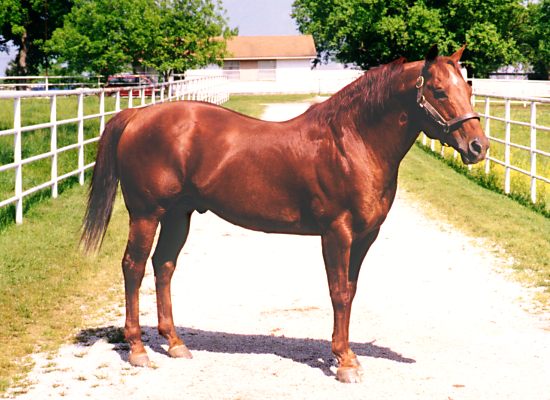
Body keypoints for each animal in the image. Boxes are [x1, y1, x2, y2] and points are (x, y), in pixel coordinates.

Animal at [81, 45, 488, 382]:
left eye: (468, 90)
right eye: (439, 91)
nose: (478, 146)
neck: (352, 143)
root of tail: (136, 115)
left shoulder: (364, 237)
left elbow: (351, 290)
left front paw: (347, 354)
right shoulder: (336, 234)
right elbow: (338, 293)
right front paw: (344, 362)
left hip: (178, 215)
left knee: (163, 266)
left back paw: (176, 343)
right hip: (146, 214)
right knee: (134, 267)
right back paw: (138, 350)